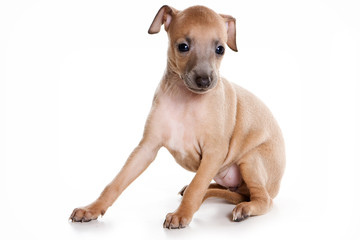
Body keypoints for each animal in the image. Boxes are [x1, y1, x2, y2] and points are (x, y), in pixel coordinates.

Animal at [69, 4, 284, 228]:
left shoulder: (214, 153)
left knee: (261, 199)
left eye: (220, 49)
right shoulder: (146, 147)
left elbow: (197, 187)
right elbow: (117, 182)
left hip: (251, 161)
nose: (204, 81)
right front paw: (92, 208)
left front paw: (182, 214)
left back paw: (245, 208)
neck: (186, 101)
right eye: (183, 47)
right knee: (225, 189)